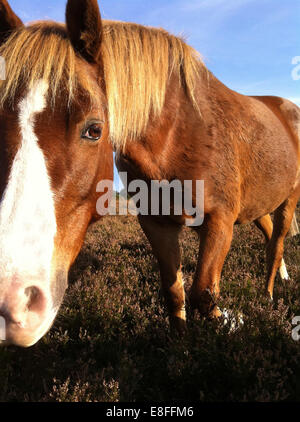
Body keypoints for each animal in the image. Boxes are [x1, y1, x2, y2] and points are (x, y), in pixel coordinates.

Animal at [0, 0, 298, 346]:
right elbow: (174, 293)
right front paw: (181, 347)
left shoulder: (220, 221)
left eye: (94, 130)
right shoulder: (157, 224)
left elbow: (203, 293)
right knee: (268, 234)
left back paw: (268, 294)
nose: (13, 303)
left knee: (276, 244)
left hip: (288, 200)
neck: (178, 135)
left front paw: (233, 320)